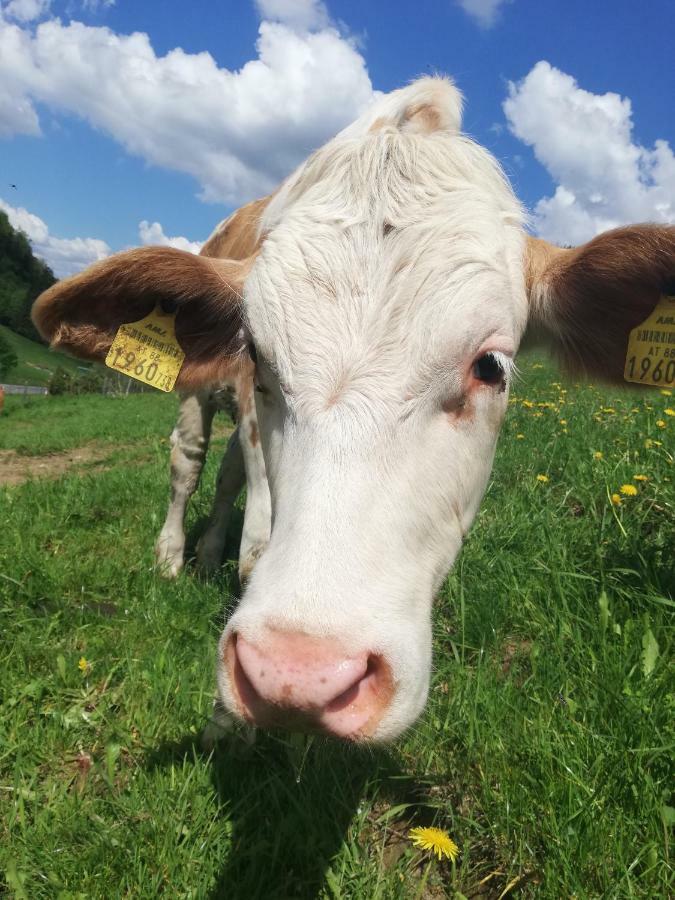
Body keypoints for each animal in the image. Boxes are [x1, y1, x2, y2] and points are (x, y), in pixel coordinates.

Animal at [33, 77, 675, 740]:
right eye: (255, 353)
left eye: (491, 366)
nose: (300, 670)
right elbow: (254, 551)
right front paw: (226, 723)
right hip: (193, 396)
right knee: (189, 461)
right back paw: (171, 556)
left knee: (228, 473)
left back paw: (207, 553)